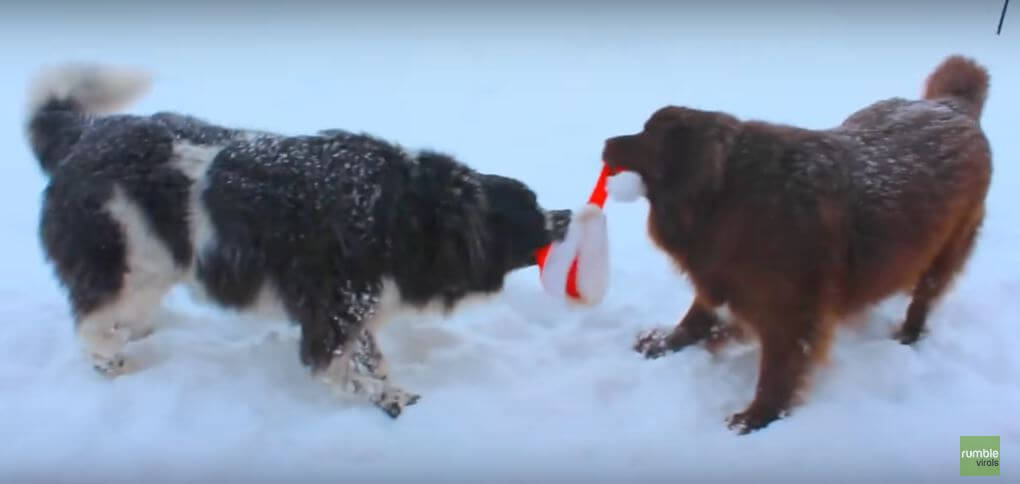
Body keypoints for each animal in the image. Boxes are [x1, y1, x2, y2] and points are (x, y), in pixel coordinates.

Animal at [25, 66, 575, 417]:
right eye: (530, 209)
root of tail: (84, 135)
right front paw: (389, 399)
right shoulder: (331, 311)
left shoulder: (356, 305)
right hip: (123, 258)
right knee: (91, 322)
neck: (408, 215)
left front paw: (387, 387)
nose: (568, 215)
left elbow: (369, 355)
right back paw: (110, 361)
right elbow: (341, 369)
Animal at [599, 55, 991, 436]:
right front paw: (665, 341)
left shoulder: (789, 309)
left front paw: (757, 417)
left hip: (947, 250)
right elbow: (698, 316)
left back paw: (908, 334)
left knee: (924, 297)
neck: (725, 196)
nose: (604, 143)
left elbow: (777, 369)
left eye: (647, 135)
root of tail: (951, 104)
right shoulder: (724, 278)